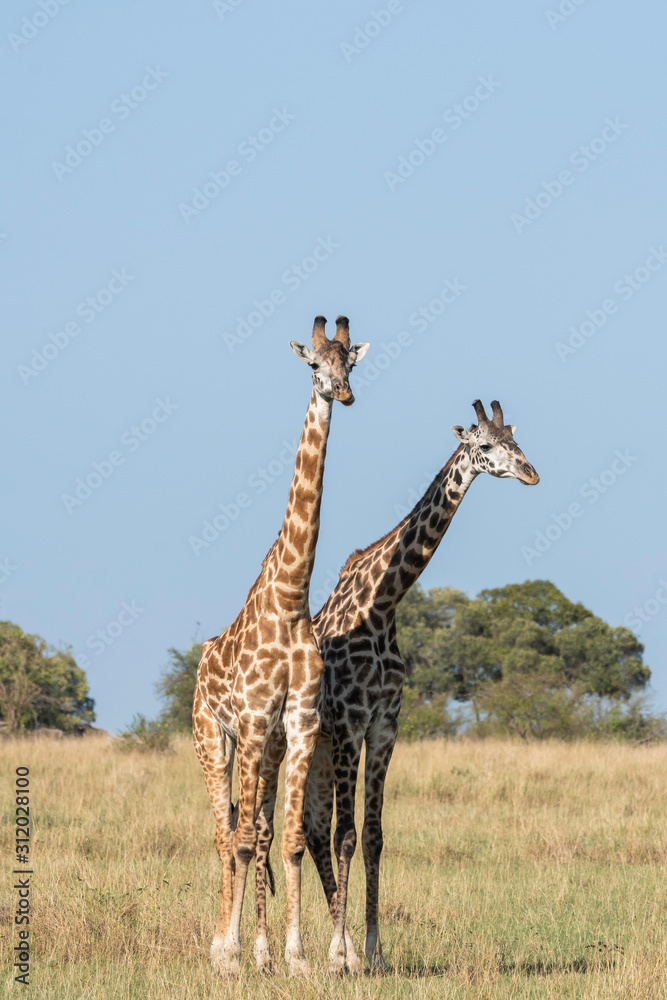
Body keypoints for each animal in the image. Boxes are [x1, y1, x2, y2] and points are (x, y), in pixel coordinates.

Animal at [192, 315, 369, 977]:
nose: (343, 394)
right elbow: (244, 842)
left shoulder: (298, 722)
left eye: (352, 364)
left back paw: (260, 948)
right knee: (227, 834)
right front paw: (232, 954)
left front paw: (293, 957)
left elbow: (290, 840)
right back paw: (222, 945)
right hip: (213, 738)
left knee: (260, 832)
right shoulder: (251, 718)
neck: (293, 598)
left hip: (262, 747)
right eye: (314, 367)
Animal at [300, 398, 540, 973]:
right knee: (304, 831)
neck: (384, 605)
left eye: (517, 441)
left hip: (319, 752)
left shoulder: (385, 726)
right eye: (484, 445)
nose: (531, 473)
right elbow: (347, 836)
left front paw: (372, 953)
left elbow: (373, 836)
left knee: (313, 832)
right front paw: (340, 958)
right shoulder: (350, 724)